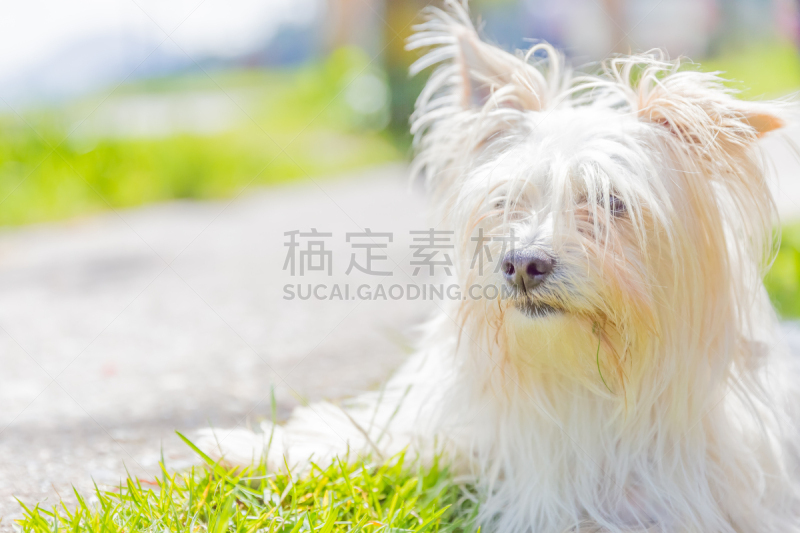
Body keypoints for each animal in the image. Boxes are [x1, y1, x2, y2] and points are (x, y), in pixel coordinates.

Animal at [203, 2, 800, 528]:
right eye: (504, 202)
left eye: (611, 202)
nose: (522, 264)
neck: (580, 382)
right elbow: (387, 435)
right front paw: (253, 448)